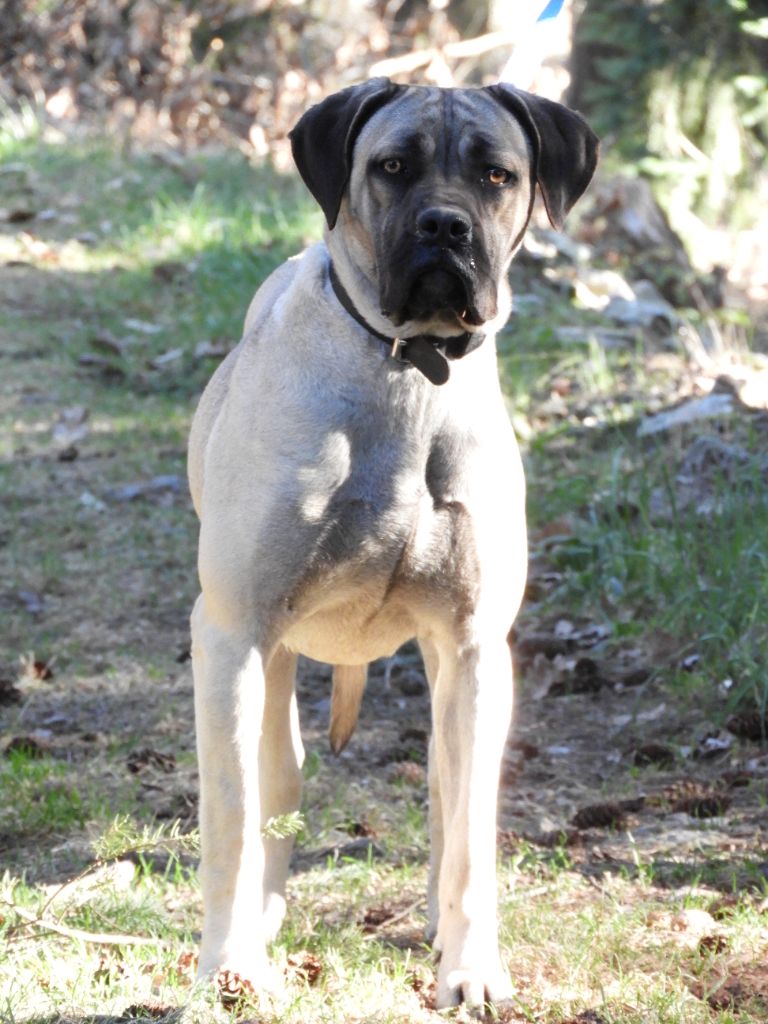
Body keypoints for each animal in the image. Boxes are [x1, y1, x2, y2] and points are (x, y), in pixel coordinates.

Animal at [189, 75, 598, 1011]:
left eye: (495, 174)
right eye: (392, 167)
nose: (443, 227)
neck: (411, 369)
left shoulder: (476, 646)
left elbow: (471, 834)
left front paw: (472, 968)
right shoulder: (233, 632)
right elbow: (234, 816)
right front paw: (231, 964)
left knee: (448, 794)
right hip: (267, 662)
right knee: (277, 780)